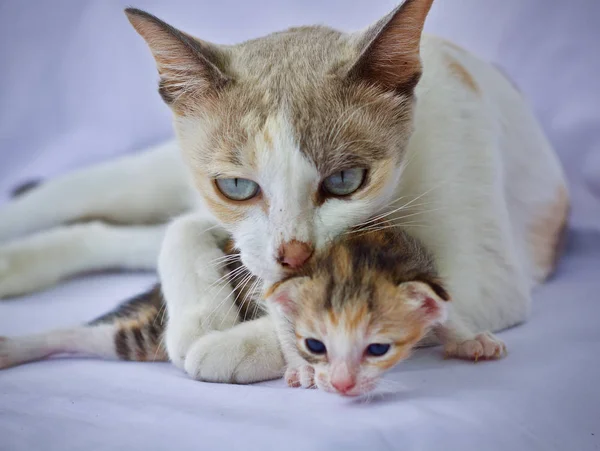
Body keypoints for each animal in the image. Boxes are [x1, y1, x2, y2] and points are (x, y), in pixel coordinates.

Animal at [0, 0, 568, 384]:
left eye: (344, 181)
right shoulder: (228, 221)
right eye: (236, 185)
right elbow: (185, 230)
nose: (295, 254)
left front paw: (226, 345)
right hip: (144, 178)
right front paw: (198, 321)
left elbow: (400, 310)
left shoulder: (491, 276)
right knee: (85, 202)